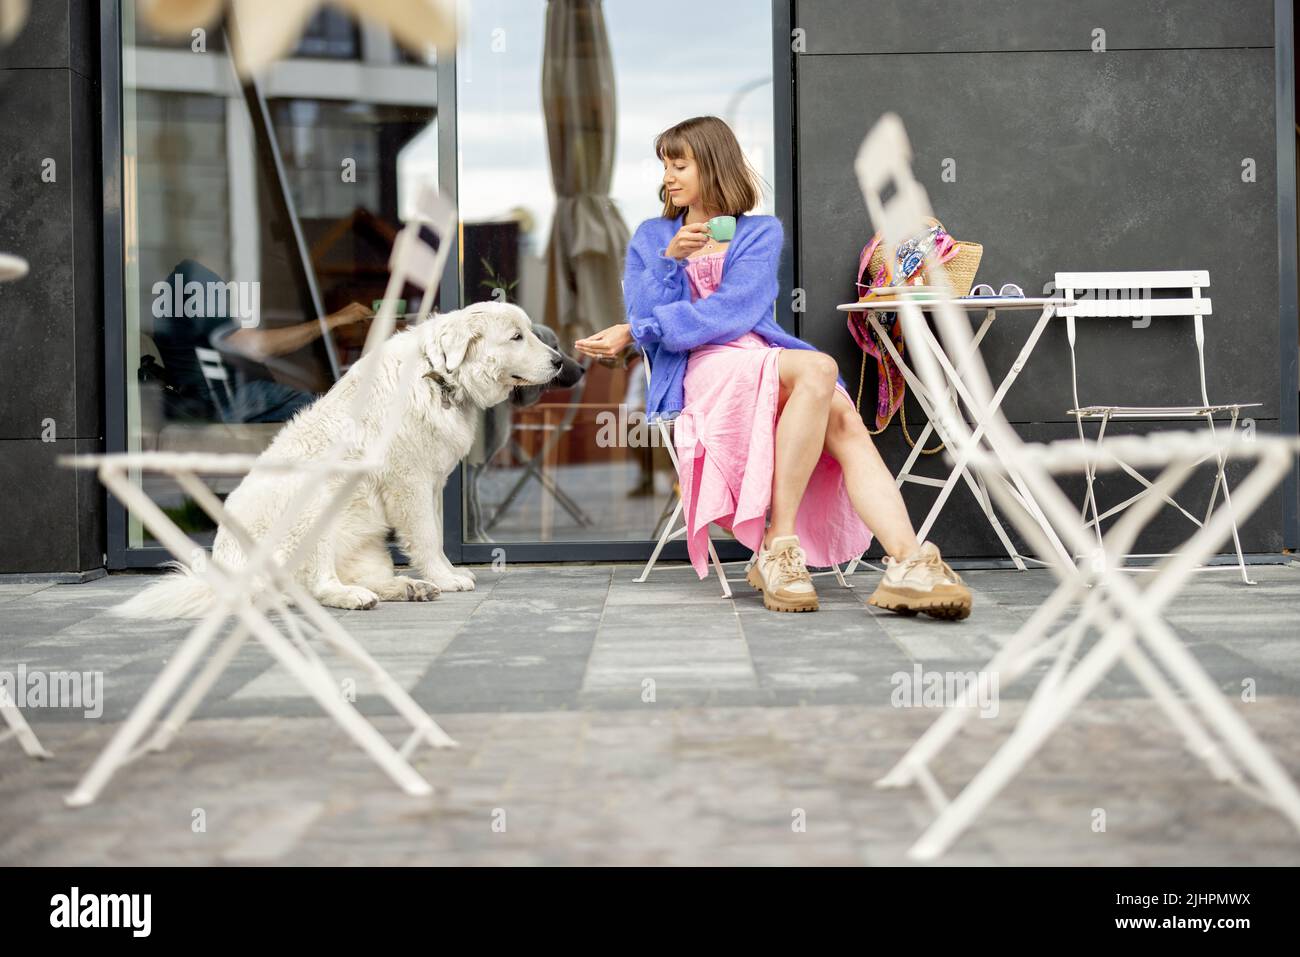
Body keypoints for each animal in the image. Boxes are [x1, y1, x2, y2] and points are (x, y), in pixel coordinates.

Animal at [110, 304, 559, 621]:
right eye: (517, 336)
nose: (557, 360)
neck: (437, 376)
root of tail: (227, 571)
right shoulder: (410, 483)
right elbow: (428, 538)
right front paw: (446, 578)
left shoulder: (432, 484)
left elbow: (433, 536)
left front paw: (443, 575)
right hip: (312, 507)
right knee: (314, 587)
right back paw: (357, 597)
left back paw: (402, 587)